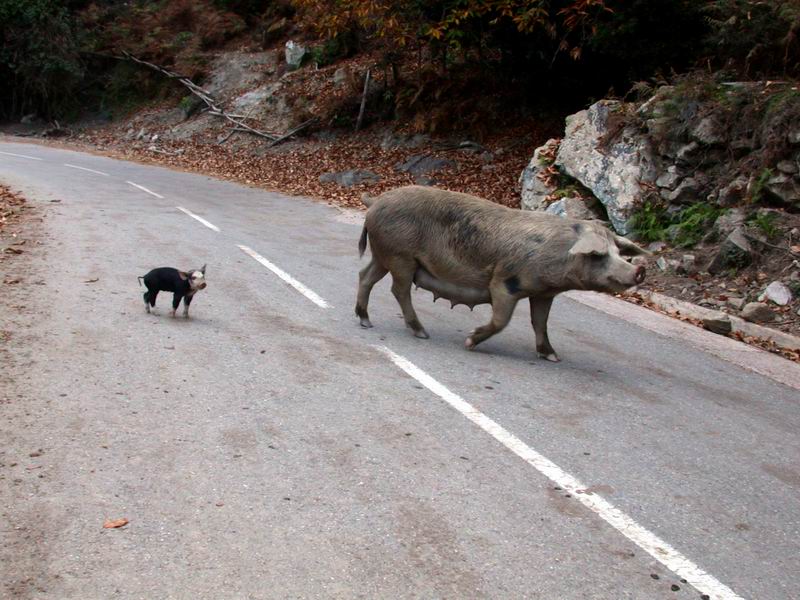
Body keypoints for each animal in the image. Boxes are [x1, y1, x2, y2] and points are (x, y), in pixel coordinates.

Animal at [356, 184, 648, 360]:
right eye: (598, 254)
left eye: (619, 252)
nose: (639, 270)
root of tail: (376, 201)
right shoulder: (505, 282)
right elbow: (502, 320)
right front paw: (469, 341)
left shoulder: (544, 293)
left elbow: (540, 322)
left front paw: (551, 356)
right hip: (400, 256)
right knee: (398, 289)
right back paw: (421, 332)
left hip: (383, 255)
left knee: (365, 276)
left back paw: (365, 320)